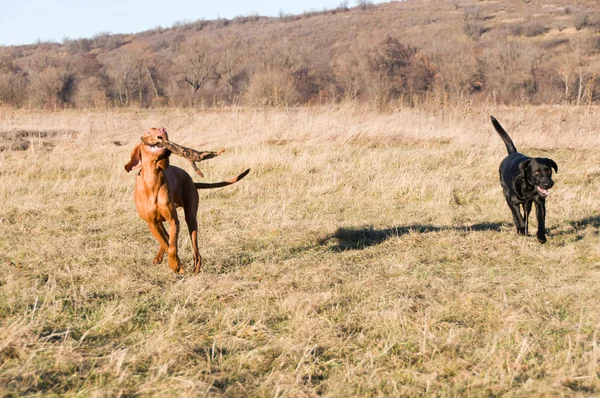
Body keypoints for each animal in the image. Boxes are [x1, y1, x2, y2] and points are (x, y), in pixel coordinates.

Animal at [125, 128, 250, 274]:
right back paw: (160, 258)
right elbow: (167, 244)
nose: (163, 129)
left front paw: (175, 265)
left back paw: (196, 267)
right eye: (148, 132)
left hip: (191, 217)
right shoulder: (152, 223)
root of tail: (192, 181)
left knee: (195, 247)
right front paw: (176, 264)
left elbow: (172, 247)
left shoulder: (174, 220)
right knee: (167, 238)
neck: (152, 181)